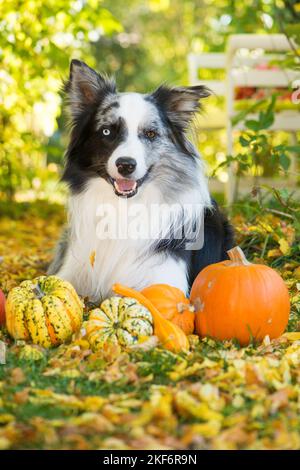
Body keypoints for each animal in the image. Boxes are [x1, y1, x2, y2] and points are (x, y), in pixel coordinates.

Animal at [48, 59, 233, 302]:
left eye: (151, 134)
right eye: (107, 131)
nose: (126, 165)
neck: (124, 207)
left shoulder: (166, 283)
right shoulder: (71, 270)